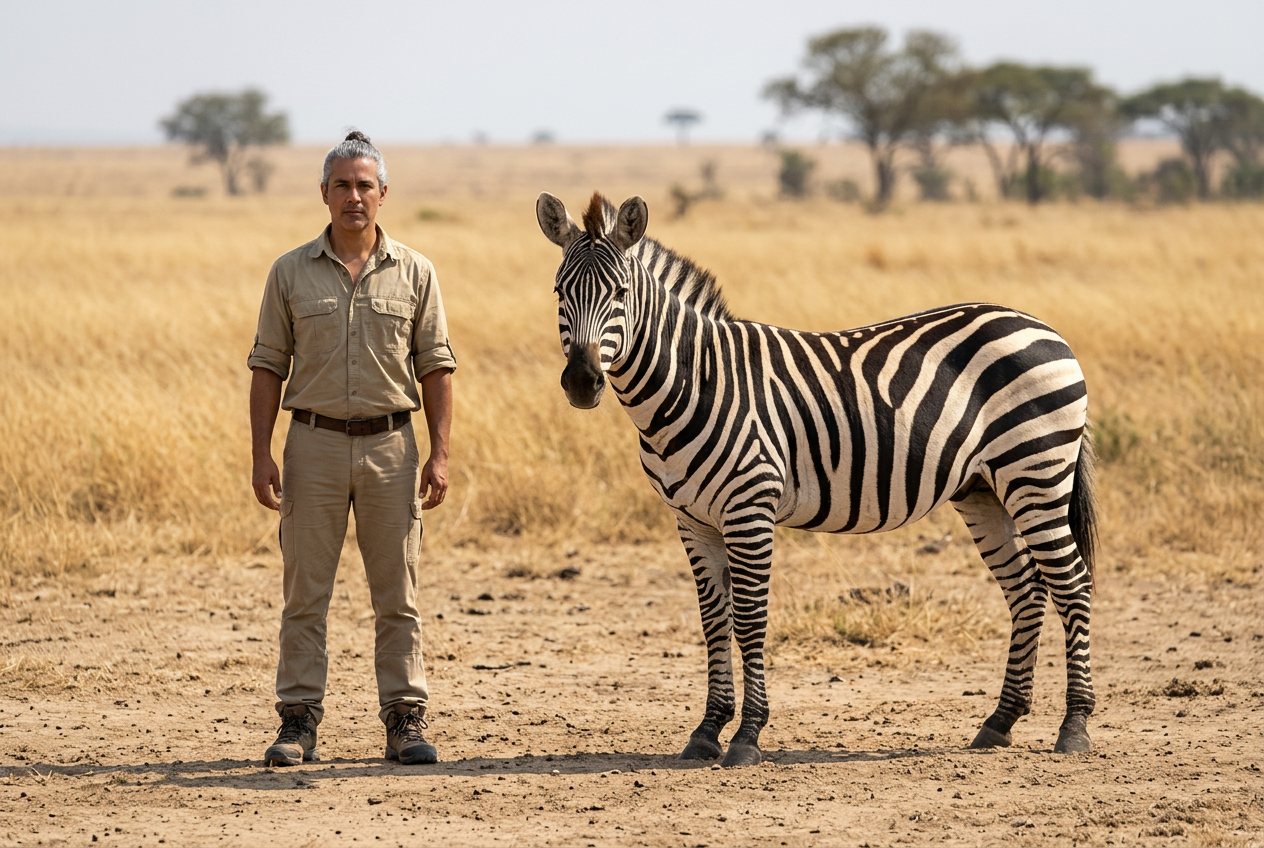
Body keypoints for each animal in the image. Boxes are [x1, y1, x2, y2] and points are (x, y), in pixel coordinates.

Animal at [535, 191, 1098, 767]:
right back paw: (1000, 721)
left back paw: (1074, 726)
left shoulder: (750, 509)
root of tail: (1040, 325)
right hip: (982, 490)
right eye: (559, 292)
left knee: (1071, 582)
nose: (581, 382)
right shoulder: (691, 519)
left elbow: (749, 618)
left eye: (620, 294)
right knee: (1026, 588)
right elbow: (713, 619)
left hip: (1036, 471)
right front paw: (707, 729)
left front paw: (747, 735)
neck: (695, 382)